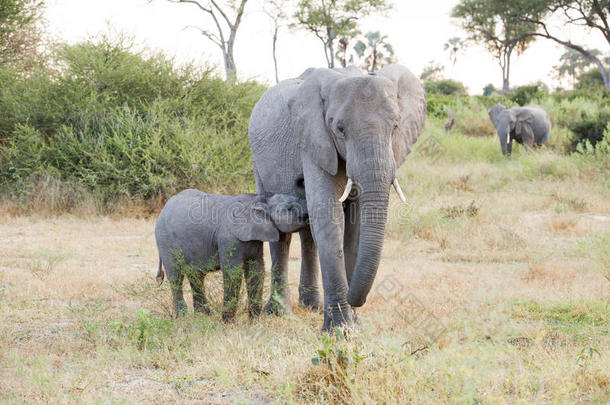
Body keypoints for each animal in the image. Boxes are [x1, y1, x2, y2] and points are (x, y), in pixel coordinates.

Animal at [154, 189, 306, 318]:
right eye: (290, 208)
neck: (258, 200)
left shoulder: (254, 238)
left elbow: (256, 271)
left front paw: (255, 321)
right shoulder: (228, 238)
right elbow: (233, 272)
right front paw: (227, 322)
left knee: (196, 276)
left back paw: (204, 316)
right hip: (165, 241)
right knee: (176, 276)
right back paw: (183, 317)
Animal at [247, 62, 422, 328]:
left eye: (395, 126)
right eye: (339, 129)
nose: (354, 300)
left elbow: (354, 227)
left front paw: (354, 323)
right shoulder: (313, 140)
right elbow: (329, 216)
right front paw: (339, 329)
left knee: (308, 233)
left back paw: (312, 306)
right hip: (258, 161)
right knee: (280, 233)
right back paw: (279, 313)